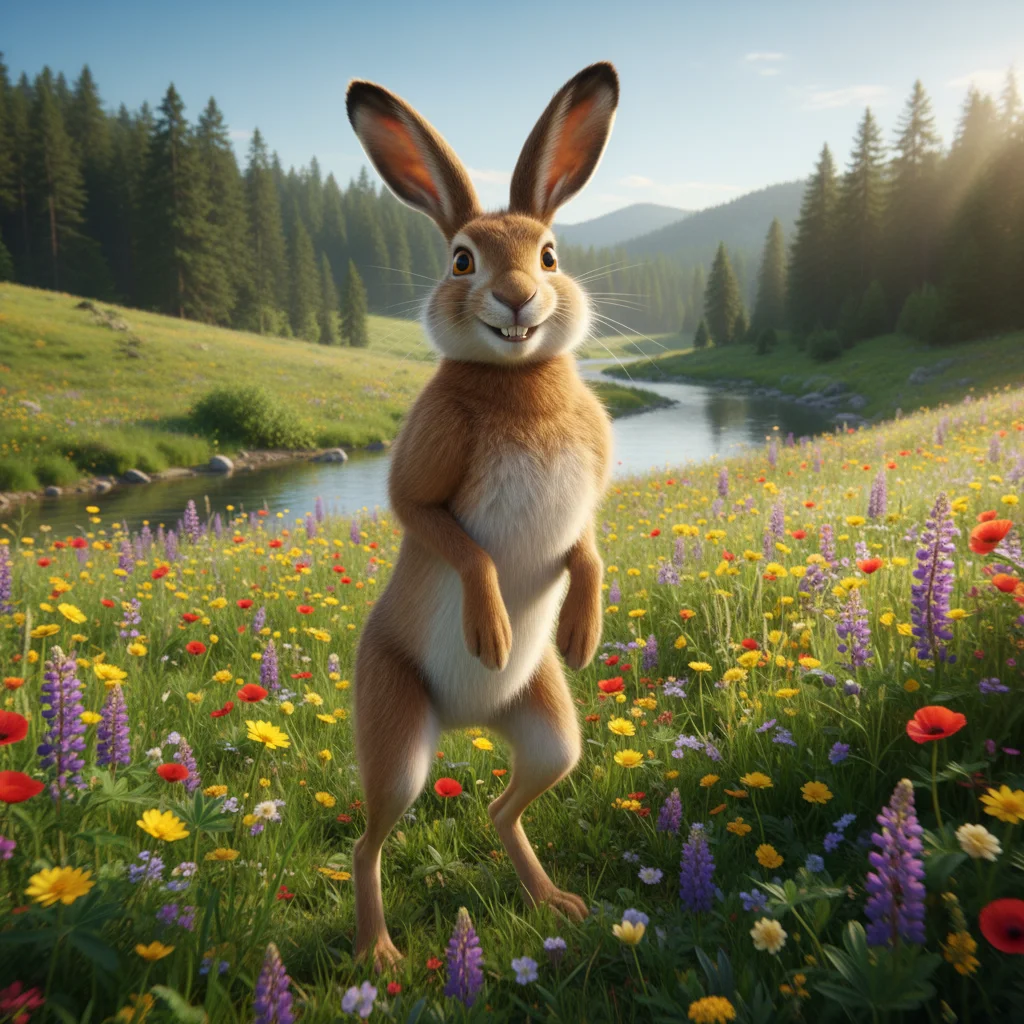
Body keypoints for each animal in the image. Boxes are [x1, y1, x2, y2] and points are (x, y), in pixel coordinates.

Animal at [346, 62, 618, 970]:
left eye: (550, 253)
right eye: (462, 259)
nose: (519, 299)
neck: (518, 376)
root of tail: (469, 724)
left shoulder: (587, 506)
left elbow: (586, 552)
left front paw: (582, 633)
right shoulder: (421, 486)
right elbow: (462, 547)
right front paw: (491, 634)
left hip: (550, 730)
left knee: (501, 807)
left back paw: (557, 902)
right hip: (397, 736)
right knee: (366, 845)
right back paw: (381, 955)